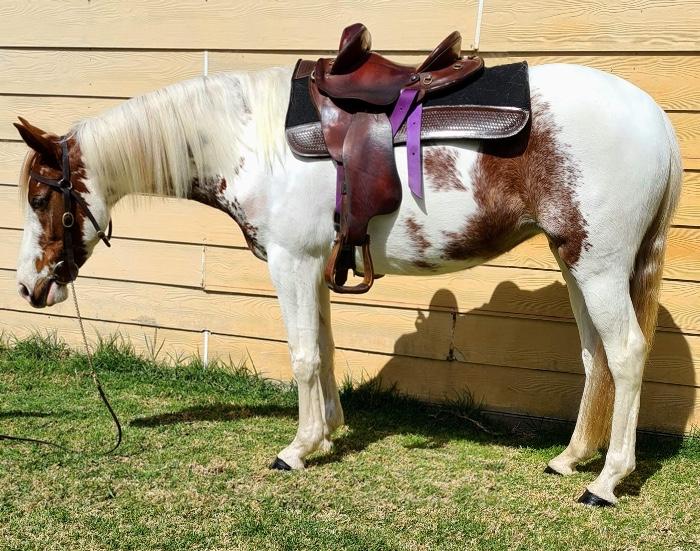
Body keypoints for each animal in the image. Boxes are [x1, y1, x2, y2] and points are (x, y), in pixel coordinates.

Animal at [13, 62, 681, 506]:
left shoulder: (290, 262)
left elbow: (304, 357)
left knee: (626, 355)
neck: (249, 140)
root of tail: (655, 119)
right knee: (595, 358)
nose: (27, 288)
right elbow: (327, 351)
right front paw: (328, 434)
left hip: (598, 266)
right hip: (577, 265)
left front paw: (298, 448)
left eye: (42, 198)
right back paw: (571, 460)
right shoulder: (314, 266)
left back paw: (607, 481)